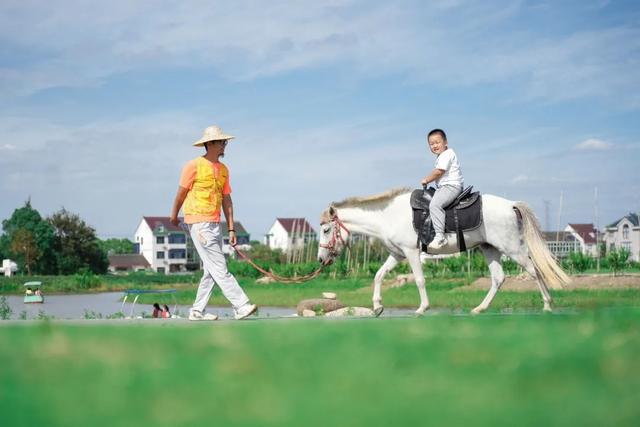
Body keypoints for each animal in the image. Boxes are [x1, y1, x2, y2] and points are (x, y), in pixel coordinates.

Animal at [316, 189, 568, 316]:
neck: (387, 216)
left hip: (513, 248)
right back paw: (480, 308)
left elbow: (419, 280)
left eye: (327, 230)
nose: (320, 259)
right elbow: (378, 275)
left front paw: (422, 308)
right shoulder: (397, 254)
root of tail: (510, 205)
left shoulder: (411, 252)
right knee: (498, 278)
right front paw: (377, 306)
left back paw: (547, 304)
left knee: (534, 270)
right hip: (490, 249)